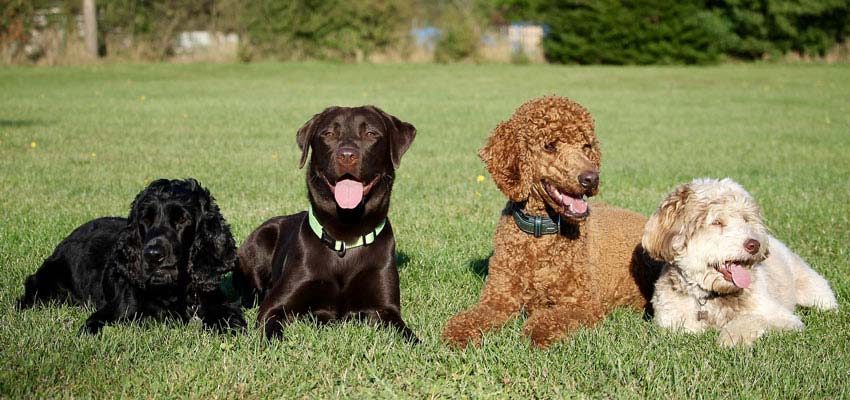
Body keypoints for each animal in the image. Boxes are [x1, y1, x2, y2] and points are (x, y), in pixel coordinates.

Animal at [17, 178, 245, 334]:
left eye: (182, 219)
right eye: (146, 219)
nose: (152, 255)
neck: (173, 290)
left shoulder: (220, 304)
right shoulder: (112, 313)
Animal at [235, 105, 418, 340]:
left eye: (371, 133)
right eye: (329, 134)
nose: (347, 155)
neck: (346, 235)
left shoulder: (387, 309)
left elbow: (408, 336)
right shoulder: (274, 306)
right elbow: (272, 331)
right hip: (260, 240)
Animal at [440, 96, 660, 346]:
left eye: (586, 146)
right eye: (550, 145)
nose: (591, 178)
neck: (540, 235)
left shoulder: (582, 305)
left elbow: (545, 322)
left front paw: (535, 332)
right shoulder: (498, 299)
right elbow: (474, 317)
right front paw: (459, 332)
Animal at [644, 179, 836, 346]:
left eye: (745, 219)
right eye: (717, 222)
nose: (754, 244)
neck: (714, 297)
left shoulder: (782, 317)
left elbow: (753, 318)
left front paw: (731, 337)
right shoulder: (672, 320)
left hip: (814, 291)